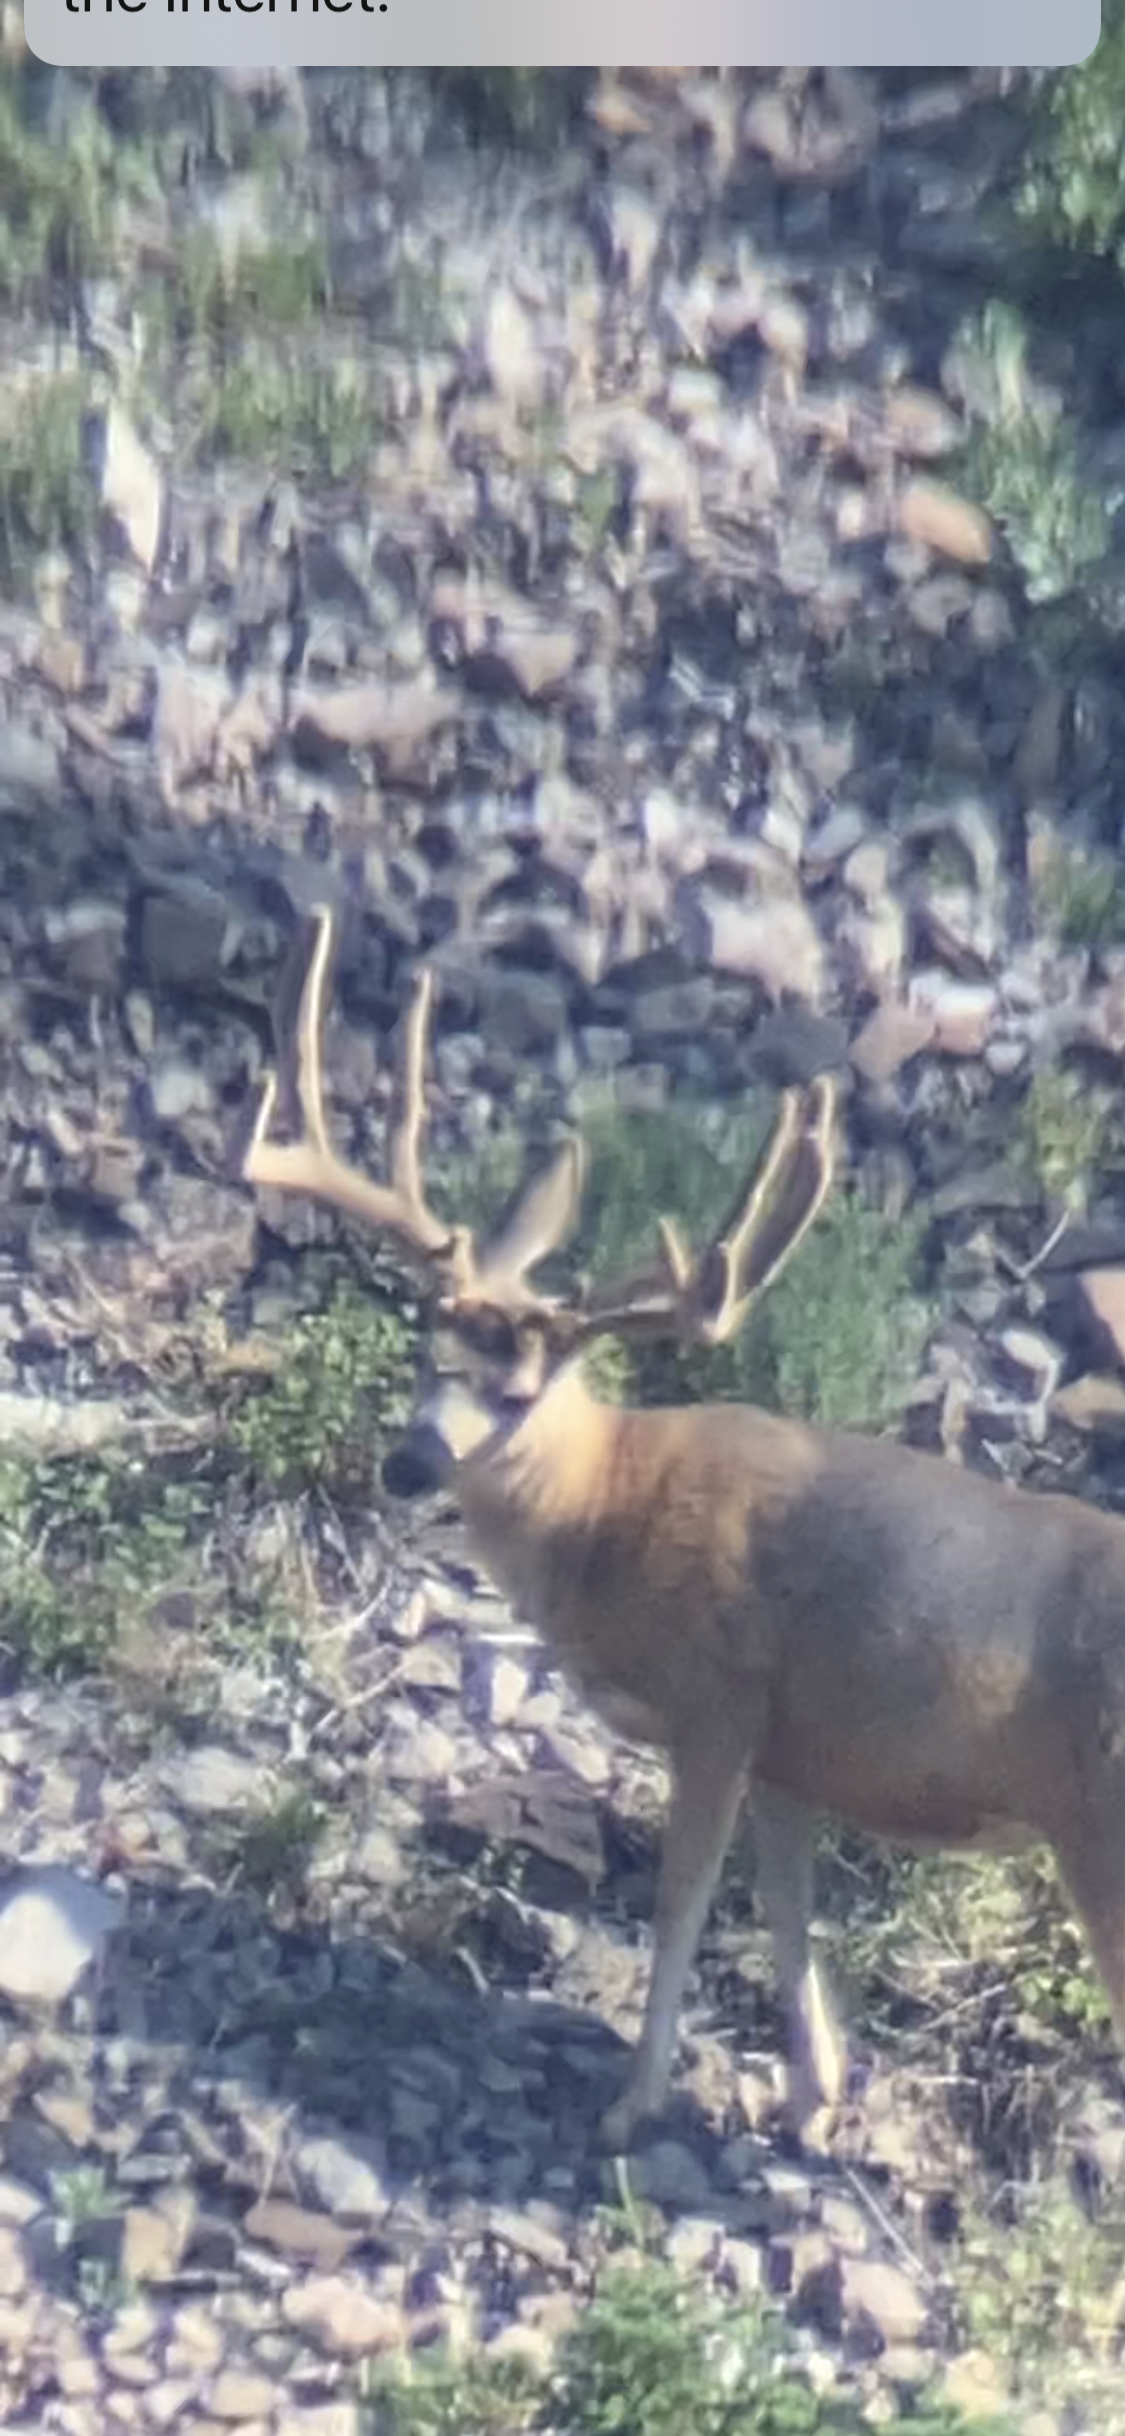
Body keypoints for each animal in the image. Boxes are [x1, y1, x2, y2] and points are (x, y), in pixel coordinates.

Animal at [236, 902, 1125, 2151]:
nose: (408, 1463)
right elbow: (788, 1919)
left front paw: (633, 2103)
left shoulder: (719, 1700)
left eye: (518, 1392)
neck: (611, 1508)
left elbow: (680, 1904)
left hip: (1102, 1827)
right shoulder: (796, 1750)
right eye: (425, 1347)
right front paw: (811, 2099)